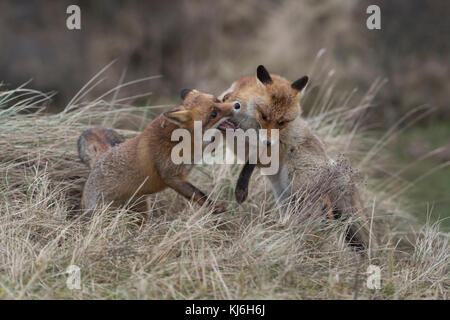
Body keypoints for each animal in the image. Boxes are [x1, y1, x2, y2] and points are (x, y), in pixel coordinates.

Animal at [76, 89, 243, 215]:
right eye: (213, 114)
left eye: (218, 100)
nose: (237, 104)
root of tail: (99, 160)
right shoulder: (172, 176)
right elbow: (199, 194)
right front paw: (215, 208)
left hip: (142, 208)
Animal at [220, 65, 374, 250]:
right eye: (264, 116)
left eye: (282, 122)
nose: (269, 142)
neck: (248, 120)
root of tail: (335, 168)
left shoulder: (270, 145)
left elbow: (250, 162)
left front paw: (241, 189)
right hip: (284, 194)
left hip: (296, 181)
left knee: (324, 207)